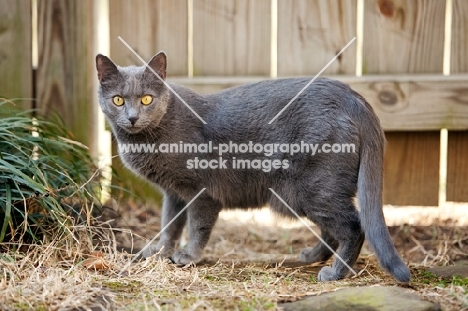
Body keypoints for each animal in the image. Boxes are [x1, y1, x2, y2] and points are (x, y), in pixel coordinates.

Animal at [95, 51, 410, 282]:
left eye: (147, 99)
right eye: (118, 100)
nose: (132, 117)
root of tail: (353, 97)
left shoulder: (201, 192)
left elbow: (197, 226)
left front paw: (188, 256)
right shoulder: (173, 193)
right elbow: (169, 224)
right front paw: (159, 251)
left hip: (311, 188)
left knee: (354, 225)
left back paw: (335, 272)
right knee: (332, 229)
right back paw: (311, 257)